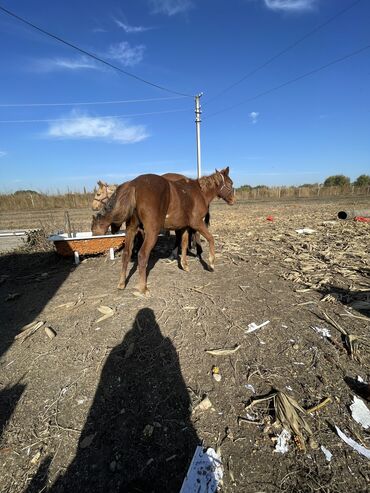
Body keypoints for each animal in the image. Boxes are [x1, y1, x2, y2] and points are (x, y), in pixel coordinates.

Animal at [92, 167, 236, 294]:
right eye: (230, 183)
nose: (233, 200)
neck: (198, 193)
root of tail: (134, 183)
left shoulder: (184, 227)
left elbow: (184, 244)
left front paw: (184, 265)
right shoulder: (197, 223)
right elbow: (211, 238)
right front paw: (211, 264)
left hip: (131, 229)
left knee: (126, 254)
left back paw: (122, 283)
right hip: (152, 232)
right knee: (142, 255)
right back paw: (143, 288)